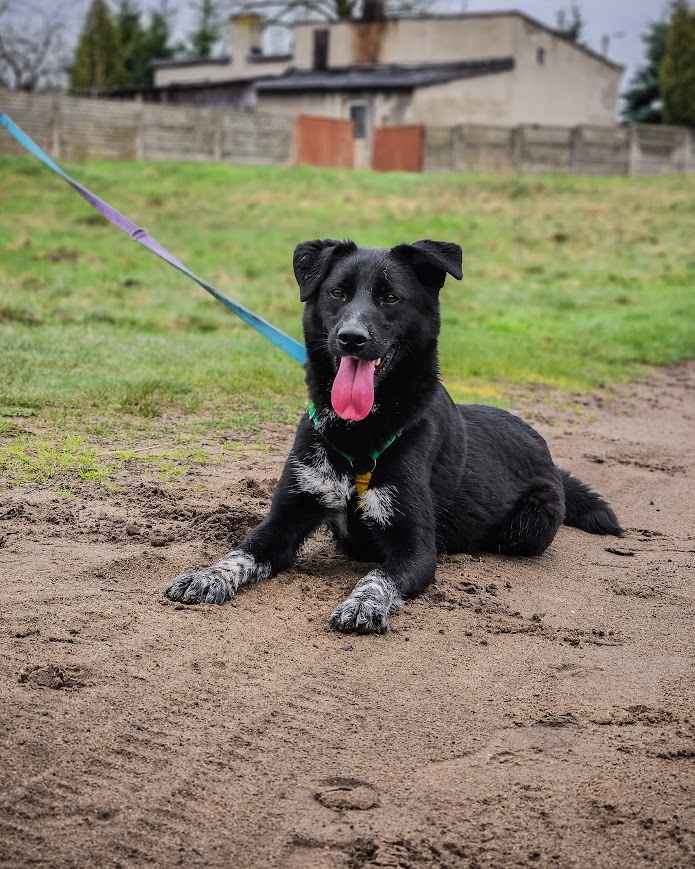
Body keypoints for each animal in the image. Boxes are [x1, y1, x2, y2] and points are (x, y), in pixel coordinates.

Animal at [166, 237, 624, 632]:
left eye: (390, 298)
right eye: (337, 293)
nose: (351, 339)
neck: (358, 436)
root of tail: (545, 451)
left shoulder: (414, 548)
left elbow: (377, 577)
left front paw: (363, 604)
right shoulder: (285, 518)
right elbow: (240, 552)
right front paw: (207, 575)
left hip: (530, 524)